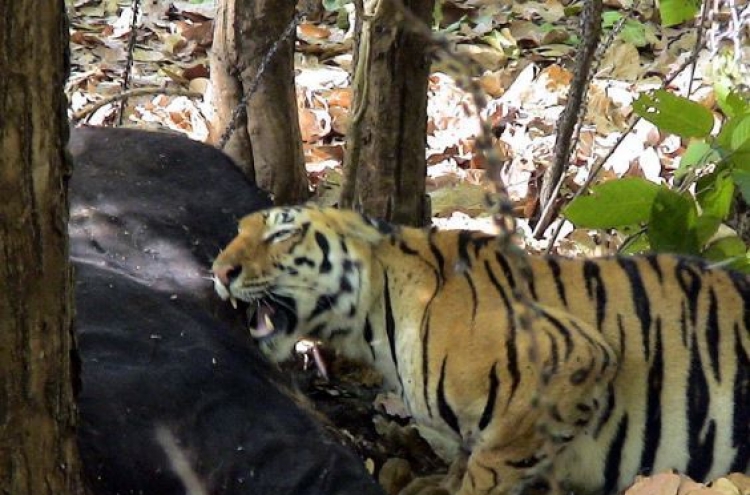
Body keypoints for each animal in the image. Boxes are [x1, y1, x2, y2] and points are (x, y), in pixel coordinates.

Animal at [210, 205, 750, 495]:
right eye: (237, 231)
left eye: (282, 233)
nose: (219, 271)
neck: (374, 324)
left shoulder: (569, 358)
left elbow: (490, 467)